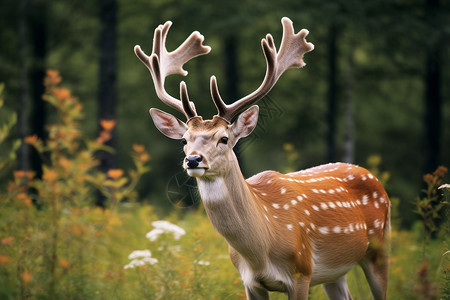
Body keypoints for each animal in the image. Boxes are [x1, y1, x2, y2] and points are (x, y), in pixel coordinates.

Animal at [134, 17, 390, 300]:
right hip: (334, 272)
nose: (193, 160)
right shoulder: (250, 282)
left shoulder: (301, 272)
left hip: (379, 249)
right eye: (184, 140)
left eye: (224, 138)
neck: (261, 247)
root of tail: (372, 177)